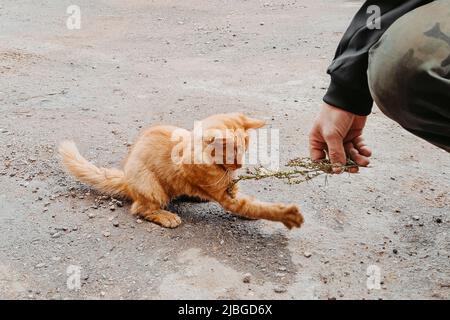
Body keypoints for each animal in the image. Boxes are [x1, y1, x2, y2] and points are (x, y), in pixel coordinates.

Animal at [58, 114, 304, 229]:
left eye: (245, 150)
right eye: (233, 154)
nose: (240, 166)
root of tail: (127, 179)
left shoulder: (231, 188)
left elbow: (249, 201)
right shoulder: (226, 196)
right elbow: (255, 206)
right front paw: (286, 214)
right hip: (152, 188)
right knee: (141, 208)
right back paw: (166, 216)